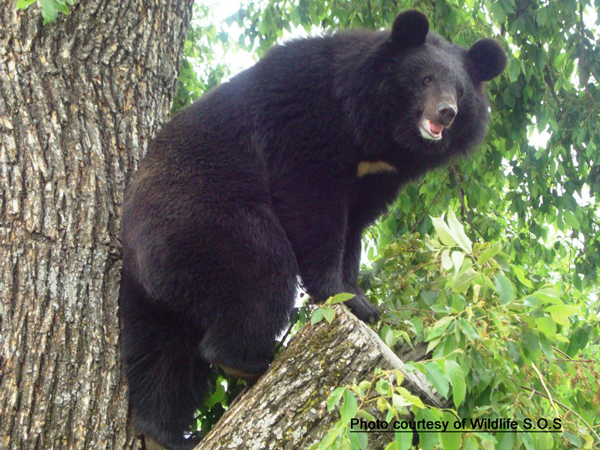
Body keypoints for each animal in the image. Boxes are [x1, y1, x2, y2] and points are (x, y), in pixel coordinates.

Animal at [119, 10, 504, 450]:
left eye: (460, 91)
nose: (446, 113)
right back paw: (249, 360)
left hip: (151, 285)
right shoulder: (306, 120)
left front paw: (362, 300)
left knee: (163, 350)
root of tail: (134, 246)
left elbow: (354, 226)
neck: (377, 134)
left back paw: (162, 431)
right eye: (424, 79)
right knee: (261, 266)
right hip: (201, 215)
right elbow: (312, 204)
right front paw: (342, 295)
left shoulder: (378, 177)